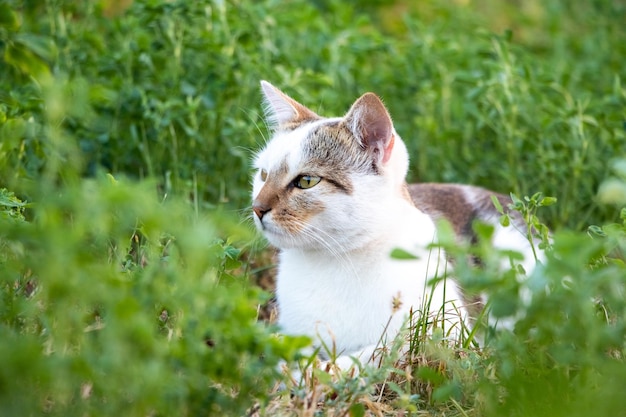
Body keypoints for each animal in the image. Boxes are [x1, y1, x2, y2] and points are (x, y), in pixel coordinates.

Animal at [251, 80, 540, 374]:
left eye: (307, 181)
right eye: (263, 174)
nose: (257, 207)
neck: (331, 261)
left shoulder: (444, 334)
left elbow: (379, 353)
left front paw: (311, 372)